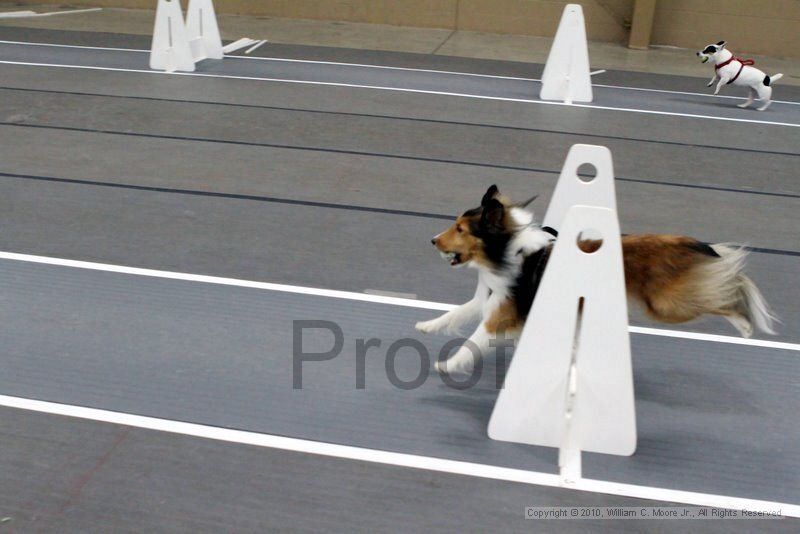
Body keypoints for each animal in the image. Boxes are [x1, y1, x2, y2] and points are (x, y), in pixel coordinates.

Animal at [416, 186, 780, 374]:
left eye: (461, 229)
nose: (432, 240)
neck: (505, 249)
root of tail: (678, 241)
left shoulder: (501, 313)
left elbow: (473, 340)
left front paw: (447, 364)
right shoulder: (487, 299)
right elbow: (455, 313)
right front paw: (426, 325)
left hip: (667, 305)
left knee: (724, 292)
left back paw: (744, 324)